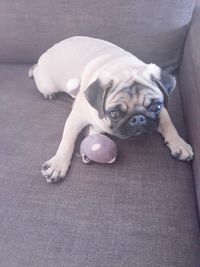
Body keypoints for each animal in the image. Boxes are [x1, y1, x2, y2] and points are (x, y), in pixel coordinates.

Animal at [29, 36, 194, 184]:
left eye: (155, 107)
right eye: (114, 114)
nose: (138, 118)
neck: (124, 68)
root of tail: (48, 51)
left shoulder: (163, 109)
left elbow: (168, 124)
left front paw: (179, 143)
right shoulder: (76, 118)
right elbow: (67, 141)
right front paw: (58, 163)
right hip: (46, 84)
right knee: (37, 74)